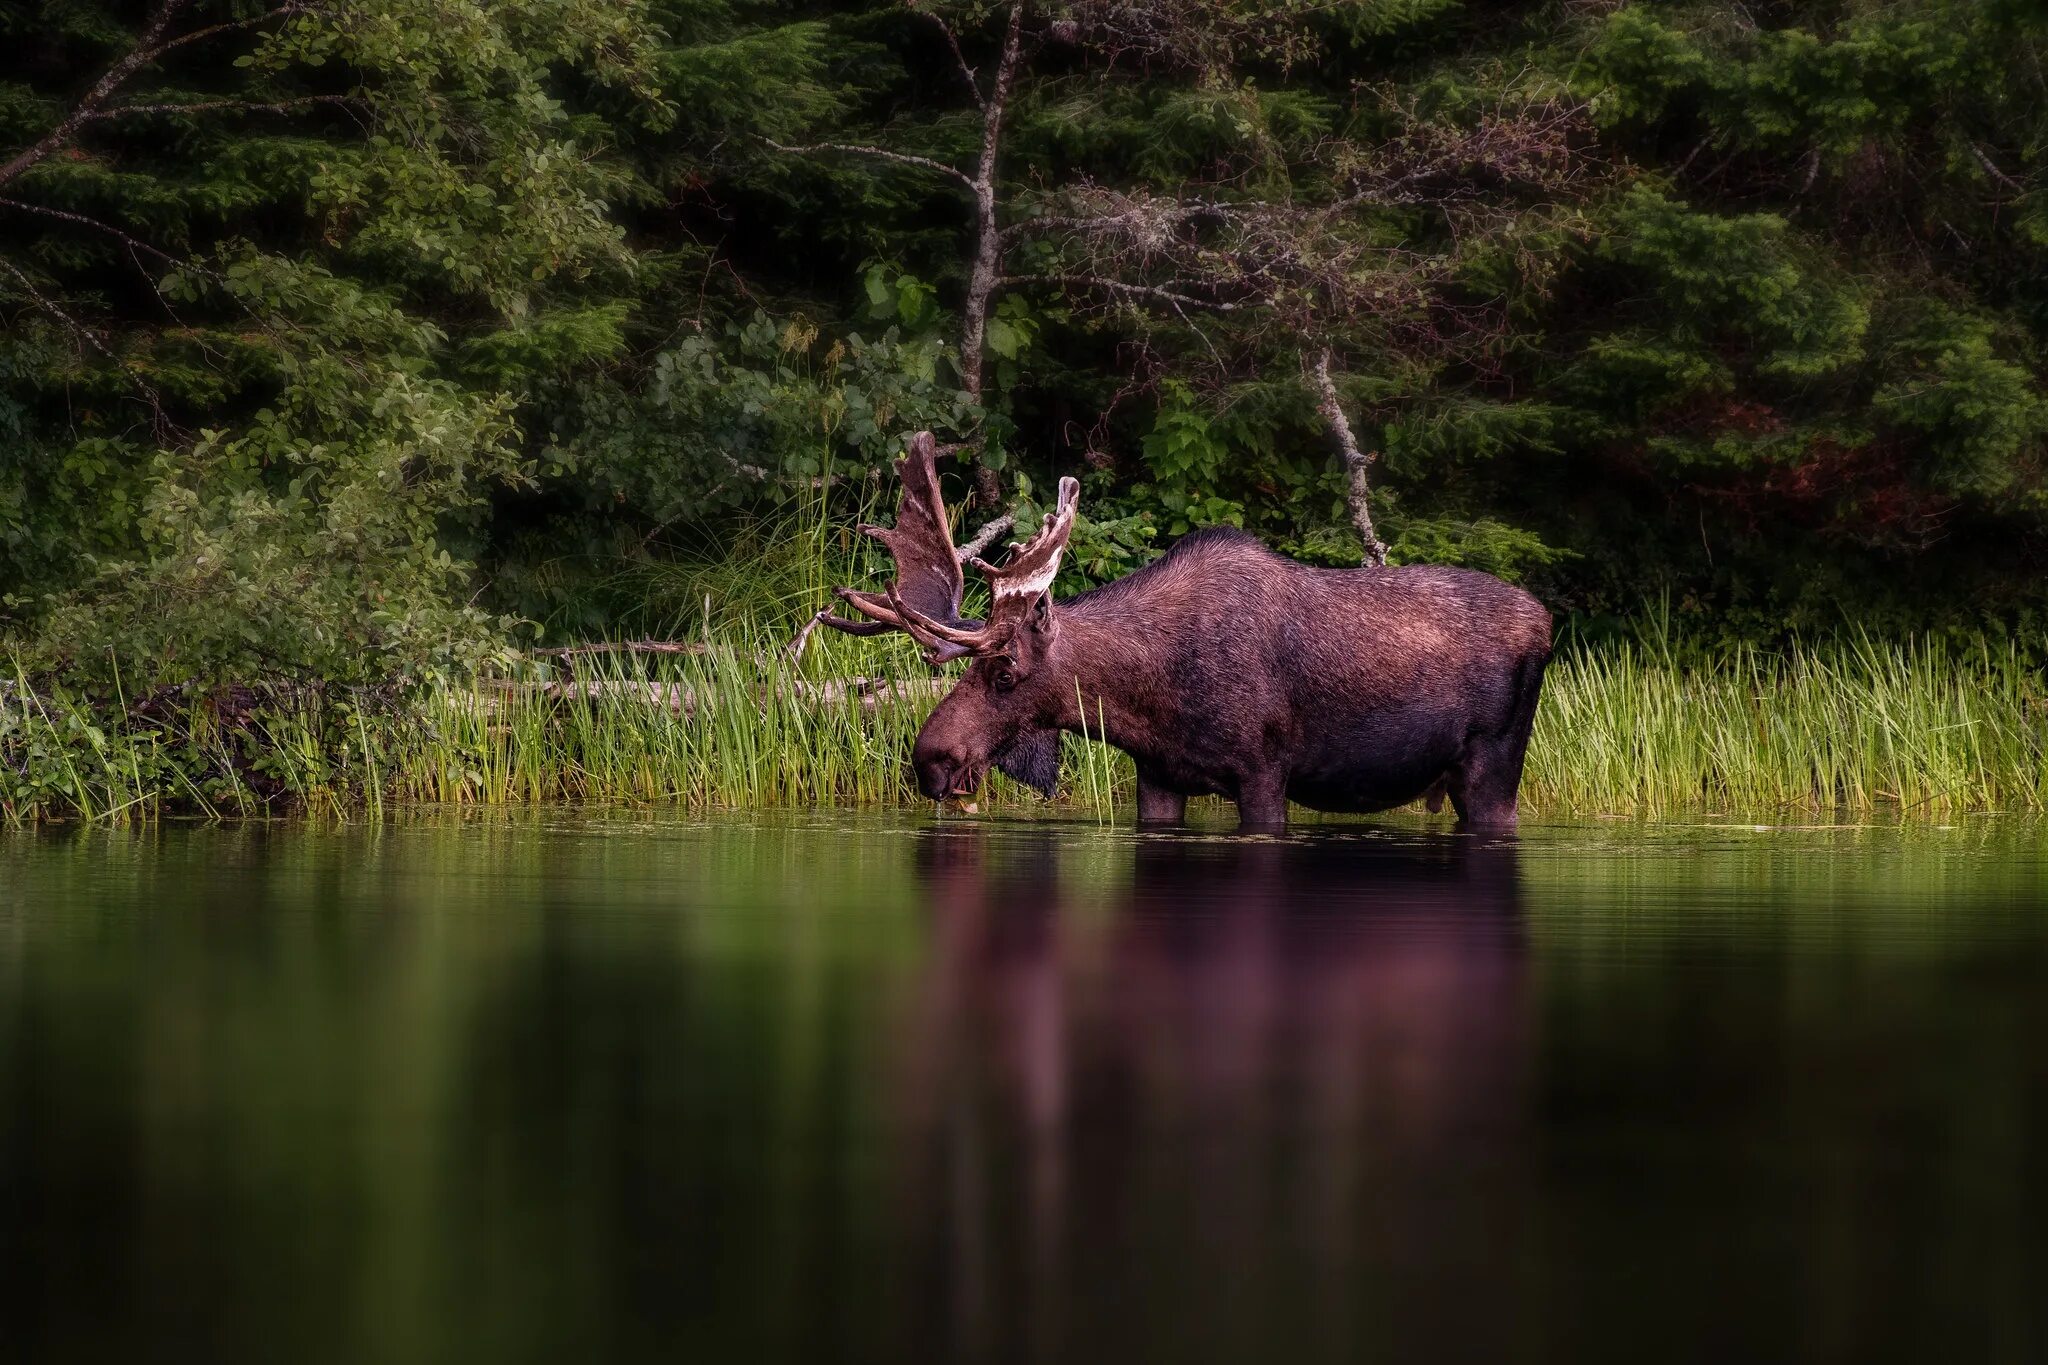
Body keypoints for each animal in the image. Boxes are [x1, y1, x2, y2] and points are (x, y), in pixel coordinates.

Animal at [806, 435, 1540, 834]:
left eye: (1005, 670)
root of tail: (1546, 618)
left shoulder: (1264, 770)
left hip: (1496, 765)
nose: (929, 760)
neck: (1148, 700)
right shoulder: (1158, 776)